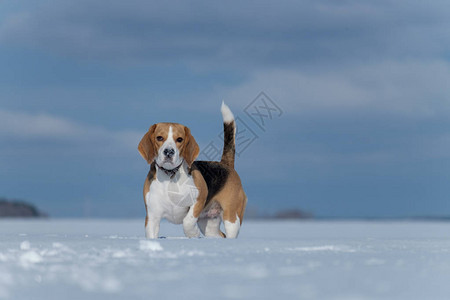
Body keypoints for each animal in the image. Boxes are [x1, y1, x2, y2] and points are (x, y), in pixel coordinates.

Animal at [139, 103, 248, 239]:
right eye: (159, 138)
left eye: (179, 139)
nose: (169, 152)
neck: (170, 175)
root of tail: (225, 164)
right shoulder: (152, 217)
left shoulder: (199, 199)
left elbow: (188, 220)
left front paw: (193, 234)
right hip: (210, 226)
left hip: (232, 218)